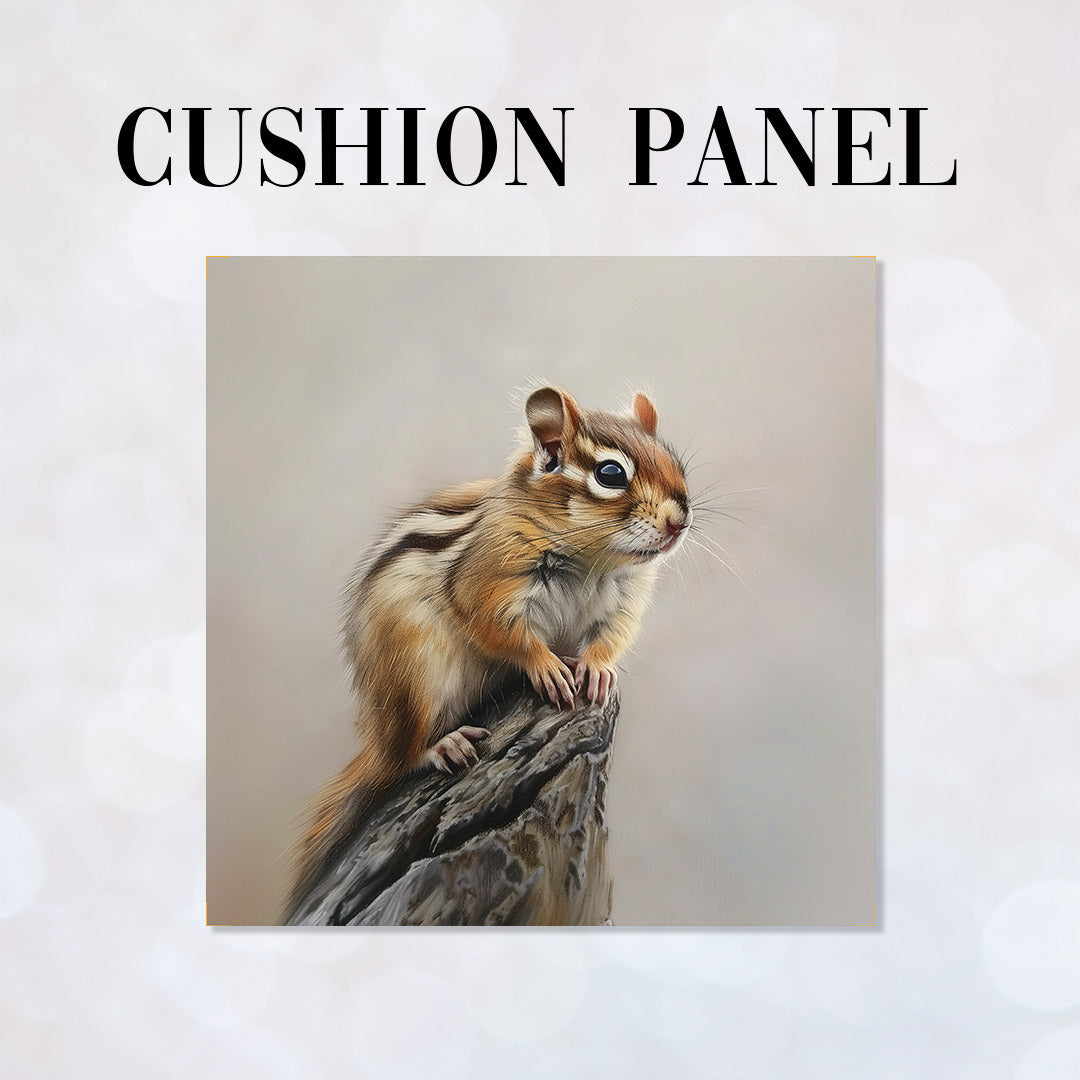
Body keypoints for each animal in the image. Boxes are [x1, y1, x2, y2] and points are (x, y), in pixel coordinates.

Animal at [283, 384, 693, 920]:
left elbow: (612, 638)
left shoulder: (625, 600)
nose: (680, 520)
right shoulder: (486, 583)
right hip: (416, 680)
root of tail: (380, 731)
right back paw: (443, 745)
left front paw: (598, 671)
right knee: (404, 757)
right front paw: (547, 668)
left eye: (677, 464)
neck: (593, 560)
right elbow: (504, 633)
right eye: (610, 474)